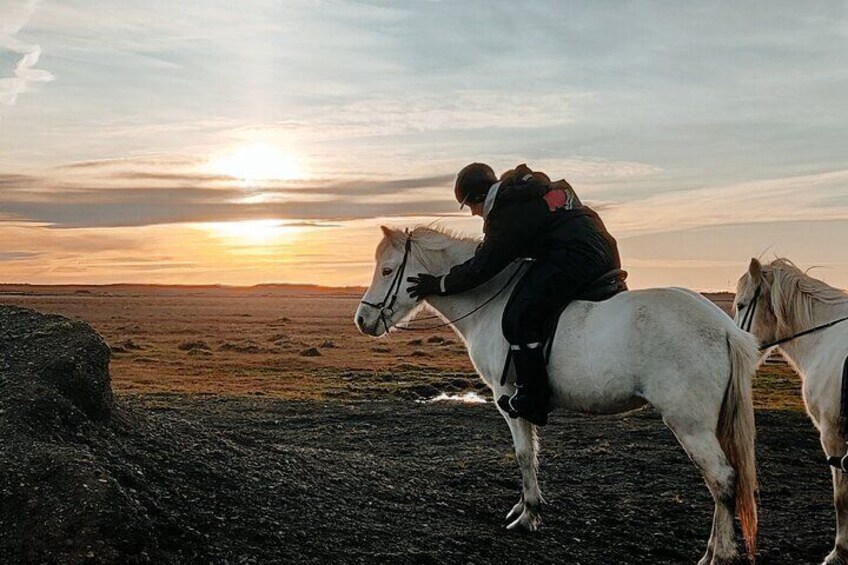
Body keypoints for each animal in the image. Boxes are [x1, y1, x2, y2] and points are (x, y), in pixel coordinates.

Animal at [356, 226, 760, 564]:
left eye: (388, 270)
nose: (362, 319)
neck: (490, 303)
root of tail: (725, 329)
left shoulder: (508, 398)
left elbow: (523, 455)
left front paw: (529, 514)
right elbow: (532, 454)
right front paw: (524, 508)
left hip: (690, 425)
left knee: (722, 479)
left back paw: (721, 555)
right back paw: (712, 550)